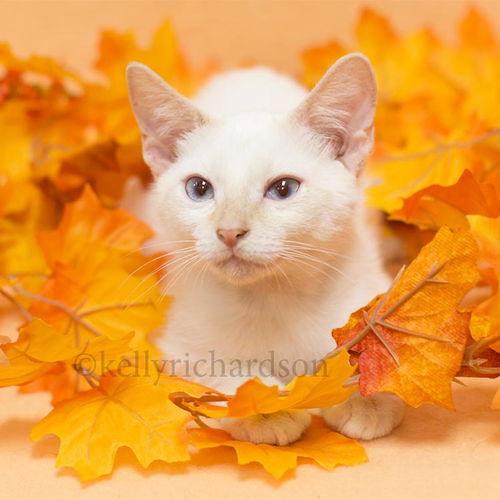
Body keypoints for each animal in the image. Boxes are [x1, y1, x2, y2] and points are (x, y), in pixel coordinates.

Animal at [127, 55, 404, 446]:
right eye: (199, 189)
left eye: (283, 189)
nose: (229, 231)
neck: (274, 296)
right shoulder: (182, 344)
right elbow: (229, 371)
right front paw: (267, 409)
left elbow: (370, 348)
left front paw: (367, 399)